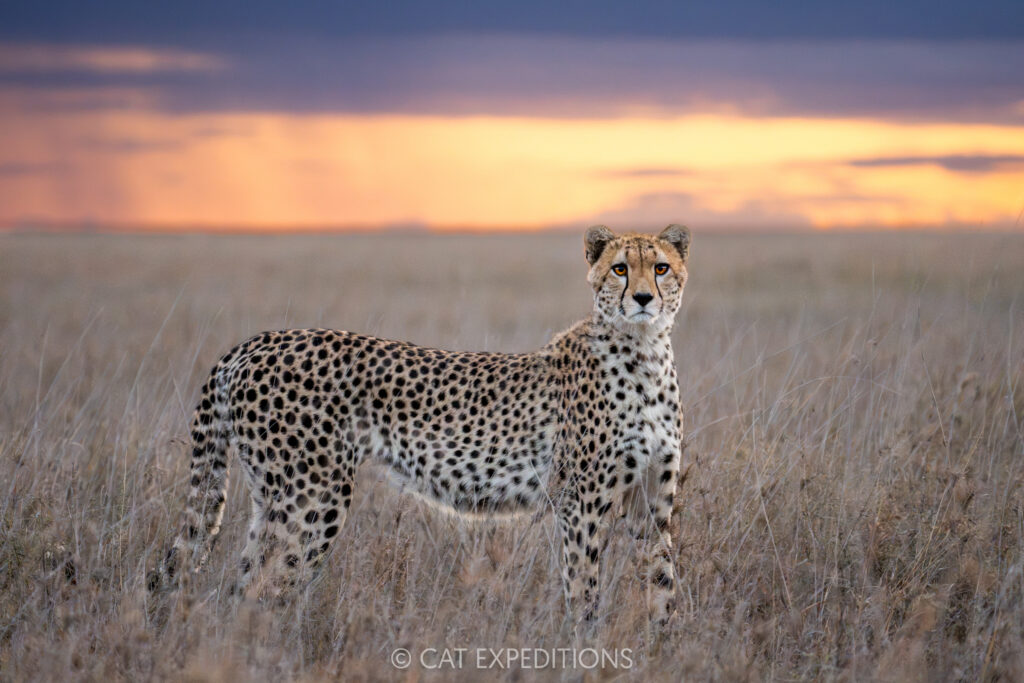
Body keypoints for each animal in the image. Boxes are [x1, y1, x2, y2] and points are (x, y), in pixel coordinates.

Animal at [151, 223, 691, 625]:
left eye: (660, 267)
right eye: (620, 268)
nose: (644, 298)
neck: (645, 353)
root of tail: (256, 342)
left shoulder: (651, 507)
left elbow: (663, 584)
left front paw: (658, 650)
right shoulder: (580, 504)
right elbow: (584, 592)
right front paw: (584, 651)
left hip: (276, 499)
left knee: (241, 584)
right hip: (313, 497)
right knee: (261, 589)